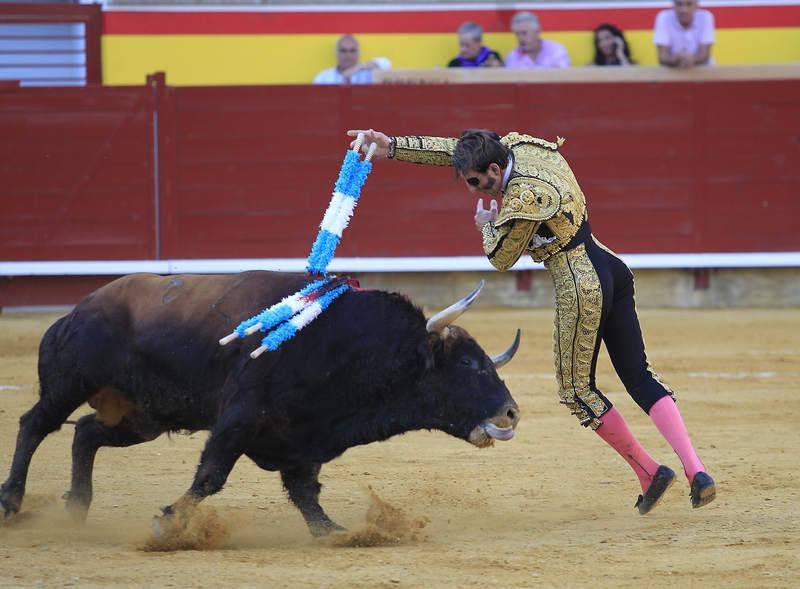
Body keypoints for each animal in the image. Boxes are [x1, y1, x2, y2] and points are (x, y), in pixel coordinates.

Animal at [0, 272, 520, 536]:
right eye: (470, 364)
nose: (511, 413)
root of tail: (75, 311)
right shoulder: (240, 416)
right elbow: (211, 476)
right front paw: (168, 522)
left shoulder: (304, 438)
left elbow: (306, 492)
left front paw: (334, 532)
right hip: (68, 385)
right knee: (34, 425)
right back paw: (12, 501)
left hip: (140, 416)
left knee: (86, 433)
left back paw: (76, 510)